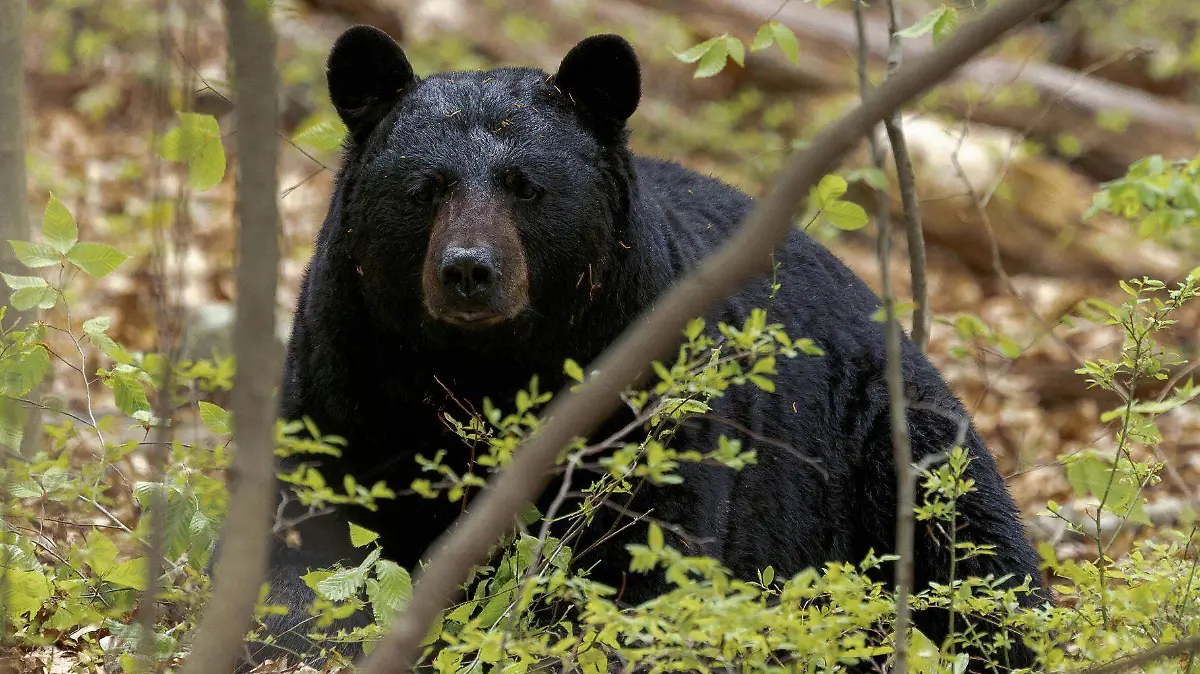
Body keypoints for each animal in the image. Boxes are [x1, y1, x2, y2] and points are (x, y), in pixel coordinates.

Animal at [247, 25, 1046, 672]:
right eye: (425, 188)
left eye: (525, 186)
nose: (469, 270)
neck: (486, 368)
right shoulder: (348, 370)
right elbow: (313, 531)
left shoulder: (645, 390)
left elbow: (647, 552)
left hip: (887, 443)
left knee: (978, 558)